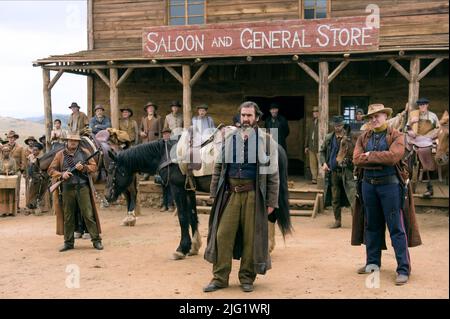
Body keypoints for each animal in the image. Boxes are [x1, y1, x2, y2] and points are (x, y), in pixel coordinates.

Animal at [104, 132, 292, 260]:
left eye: (114, 170)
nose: (107, 196)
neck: (167, 154)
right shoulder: (189, 189)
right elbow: (192, 215)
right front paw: (194, 246)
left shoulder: (177, 188)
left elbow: (182, 217)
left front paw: (181, 249)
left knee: (270, 215)